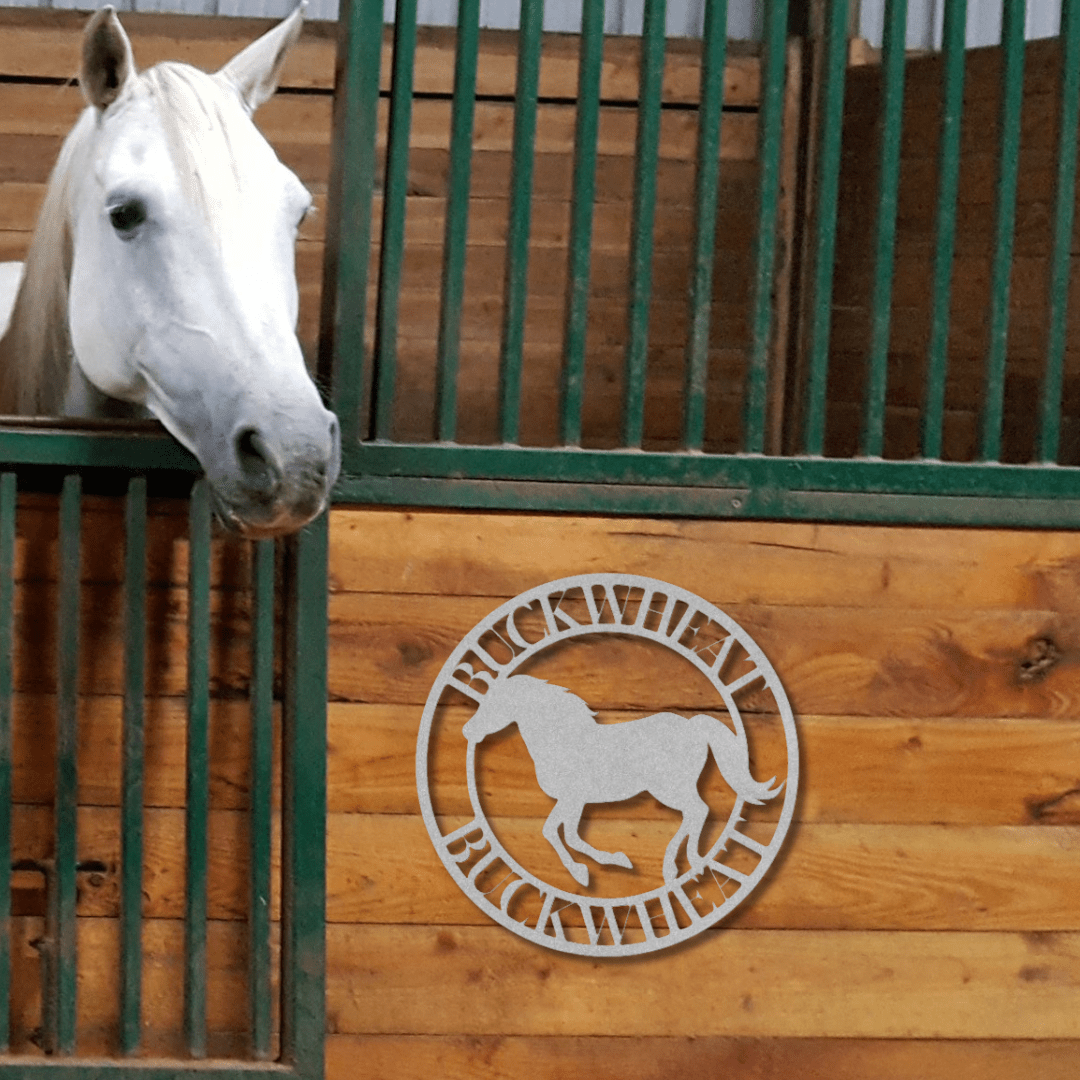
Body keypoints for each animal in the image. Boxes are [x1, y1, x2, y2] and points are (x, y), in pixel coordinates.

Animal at [464, 673, 786, 885]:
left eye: (496, 704)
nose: (468, 731)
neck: (564, 740)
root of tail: (693, 726)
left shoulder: (573, 798)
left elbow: (558, 832)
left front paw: (591, 869)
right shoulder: (574, 801)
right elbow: (564, 832)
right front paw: (600, 866)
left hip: (669, 788)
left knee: (699, 811)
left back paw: (681, 866)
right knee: (696, 813)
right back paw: (681, 866)